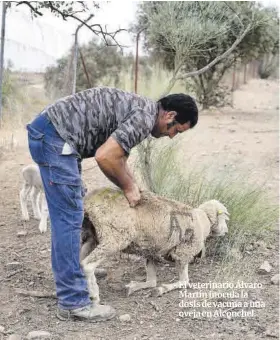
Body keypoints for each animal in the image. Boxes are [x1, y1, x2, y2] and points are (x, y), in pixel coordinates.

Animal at [80, 187, 229, 302]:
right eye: (225, 218)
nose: (226, 231)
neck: (204, 221)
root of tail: (89, 202)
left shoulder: (150, 251)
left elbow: (151, 280)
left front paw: (135, 286)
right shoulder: (183, 252)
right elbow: (184, 281)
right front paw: (161, 289)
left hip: (91, 237)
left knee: (79, 261)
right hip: (114, 237)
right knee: (87, 265)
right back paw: (94, 296)